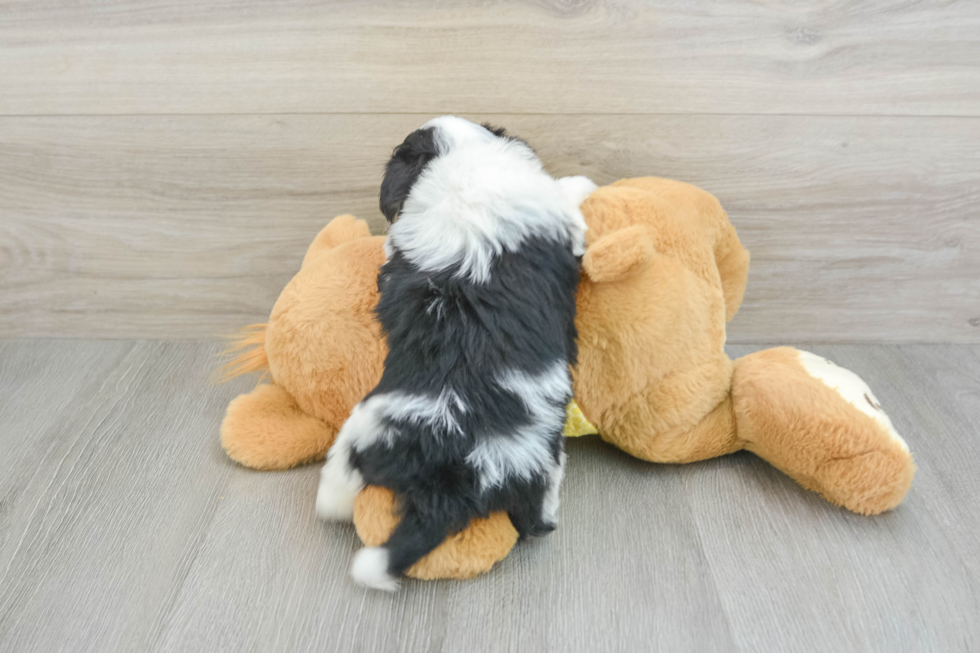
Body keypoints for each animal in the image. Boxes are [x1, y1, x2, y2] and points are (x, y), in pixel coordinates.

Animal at [318, 114, 596, 588]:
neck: (458, 160)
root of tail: (457, 472)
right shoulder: (557, 217)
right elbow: (565, 197)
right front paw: (582, 182)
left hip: (373, 431)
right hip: (536, 462)